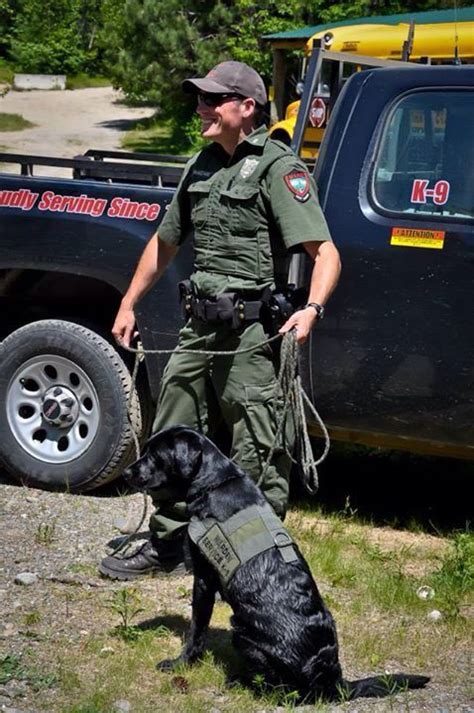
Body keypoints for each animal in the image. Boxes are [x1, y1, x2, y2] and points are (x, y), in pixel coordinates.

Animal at [124, 426, 432, 700]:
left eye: (155, 455)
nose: (126, 472)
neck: (214, 484)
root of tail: (333, 682)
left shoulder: (203, 579)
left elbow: (196, 631)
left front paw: (182, 663)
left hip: (242, 634)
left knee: (286, 693)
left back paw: (242, 683)